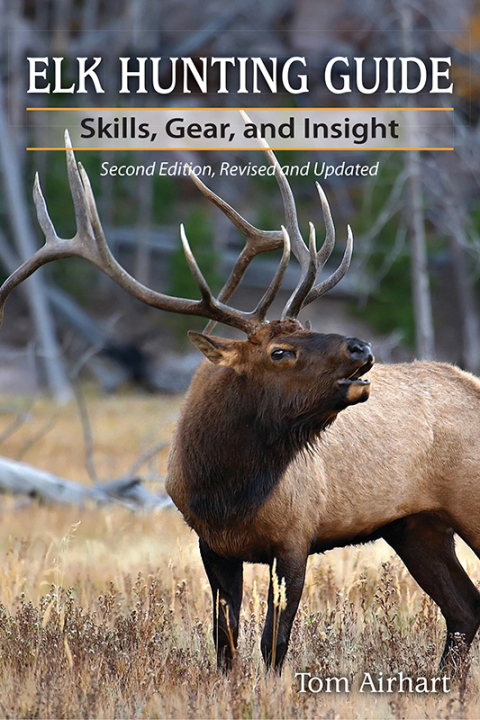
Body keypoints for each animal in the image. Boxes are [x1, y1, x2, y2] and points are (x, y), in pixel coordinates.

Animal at [1, 131, 480, 675]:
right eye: (280, 350)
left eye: (308, 328)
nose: (362, 347)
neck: (229, 489)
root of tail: (472, 382)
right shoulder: (212, 544)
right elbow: (225, 642)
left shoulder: (295, 538)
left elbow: (274, 643)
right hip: (415, 524)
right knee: (464, 608)